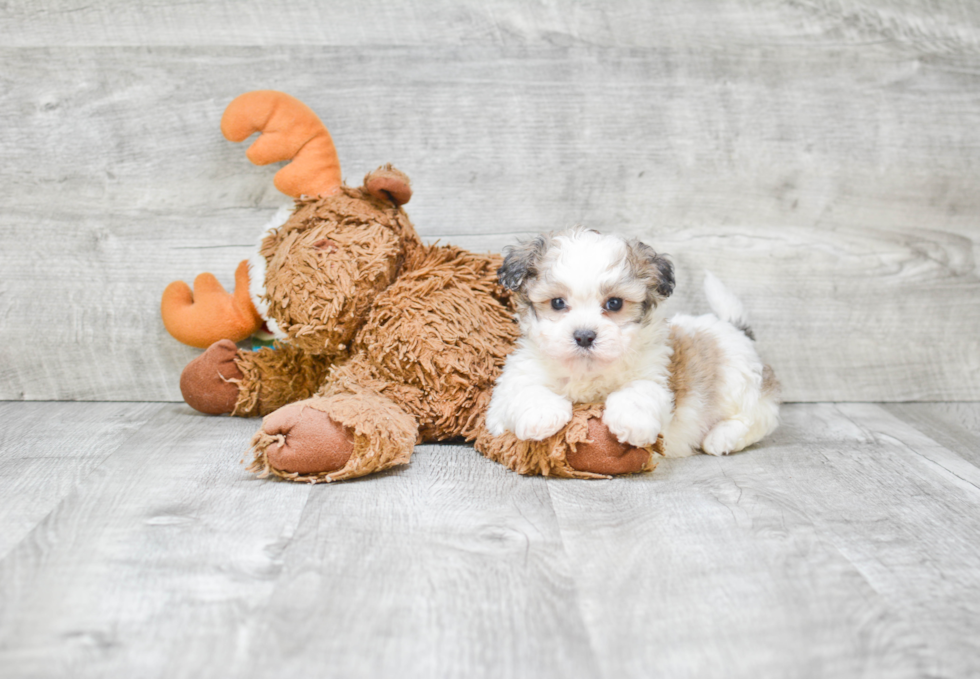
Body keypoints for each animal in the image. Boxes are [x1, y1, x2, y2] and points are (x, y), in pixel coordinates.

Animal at [490, 228, 780, 456]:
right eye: (558, 303)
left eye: (614, 303)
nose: (584, 336)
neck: (588, 370)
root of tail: (734, 328)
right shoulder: (513, 381)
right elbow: (524, 390)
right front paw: (542, 414)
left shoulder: (656, 376)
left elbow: (638, 392)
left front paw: (631, 422)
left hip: (738, 384)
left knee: (762, 417)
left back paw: (721, 437)